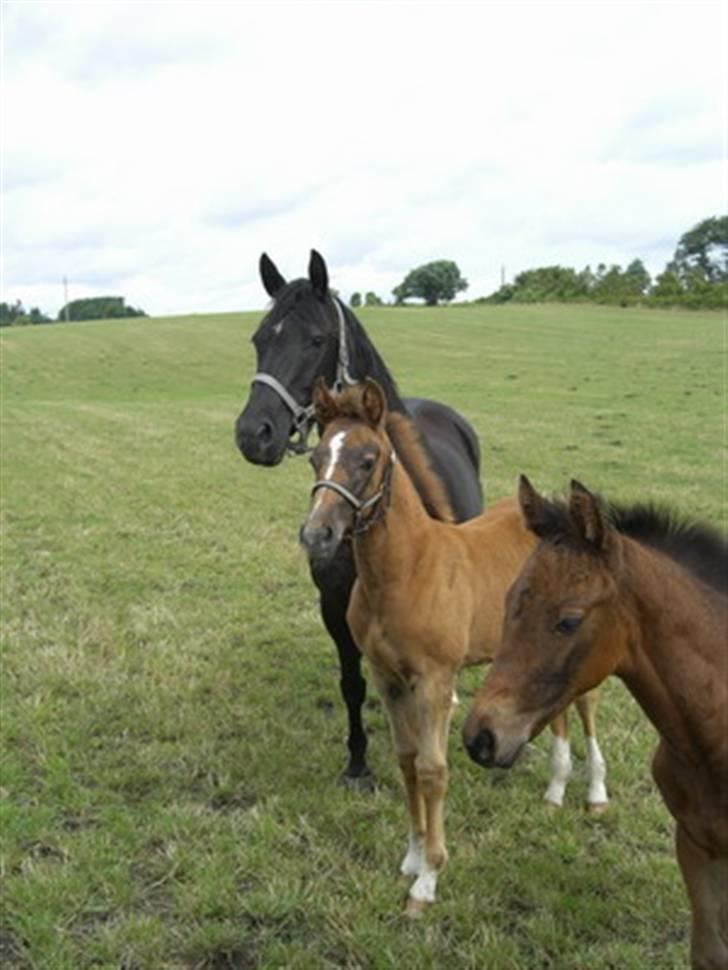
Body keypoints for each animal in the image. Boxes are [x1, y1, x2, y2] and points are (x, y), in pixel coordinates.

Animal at [235, 250, 484, 780]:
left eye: (316, 339)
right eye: (260, 338)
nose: (253, 434)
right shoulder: (334, 606)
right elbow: (352, 684)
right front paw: (357, 762)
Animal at [298, 380, 604, 916]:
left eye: (367, 459)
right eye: (316, 457)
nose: (318, 534)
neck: (406, 569)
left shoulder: (436, 681)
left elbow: (433, 769)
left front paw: (428, 880)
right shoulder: (388, 679)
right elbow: (406, 761)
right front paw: (412, 857)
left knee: (586, 703)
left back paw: (595, 793)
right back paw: (555, 789)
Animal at [464, 478, 724, 968]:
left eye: (569, 620)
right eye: (508, 601)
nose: (481, 737)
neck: (709, 747)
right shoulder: (695, 845)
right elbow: (708, 952)